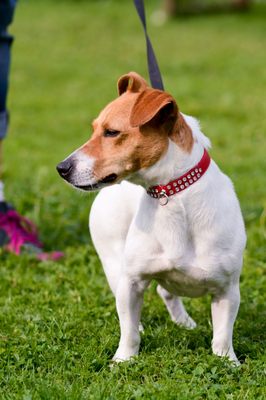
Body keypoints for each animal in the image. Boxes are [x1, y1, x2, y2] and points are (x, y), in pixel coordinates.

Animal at [57, 71, 246, 362]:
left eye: (111, 132)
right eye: (94, 129)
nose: (62, 168)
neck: (172, 195)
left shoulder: (227, 290)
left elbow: (223, 336)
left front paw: (227, 363)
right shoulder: (131, 283)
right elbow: (128, 332)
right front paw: (123, 360)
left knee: (166, 292)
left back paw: (184, 322)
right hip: (114, 263)